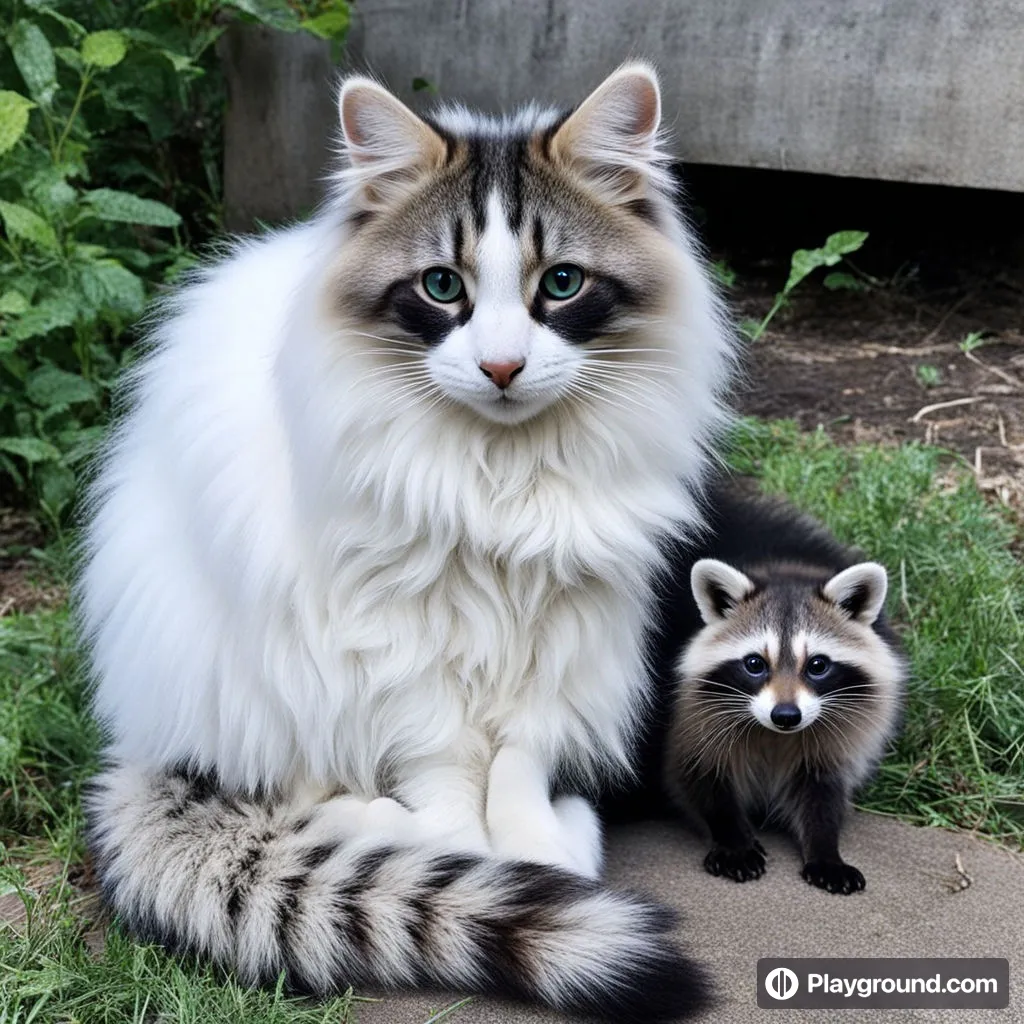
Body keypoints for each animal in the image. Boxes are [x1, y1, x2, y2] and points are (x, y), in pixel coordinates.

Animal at [79, 66, 737, 1024]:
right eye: (440, 286)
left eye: (562, 283)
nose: (501, 367)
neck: (502, 475)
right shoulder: (401, 649)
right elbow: (449, 779)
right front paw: (476, 856)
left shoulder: (561, 628)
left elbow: (523, 760)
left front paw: (537, 843)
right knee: (299, 787)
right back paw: (366, 819)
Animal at [622, 483, 905, 892]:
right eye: (755, 664)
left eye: (817, 665)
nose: (786, 716)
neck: (774, 735)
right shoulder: (691, 717)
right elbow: (699, 779)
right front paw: (732, 835)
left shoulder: (839, 737)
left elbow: (823, 793)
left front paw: (825, 847)